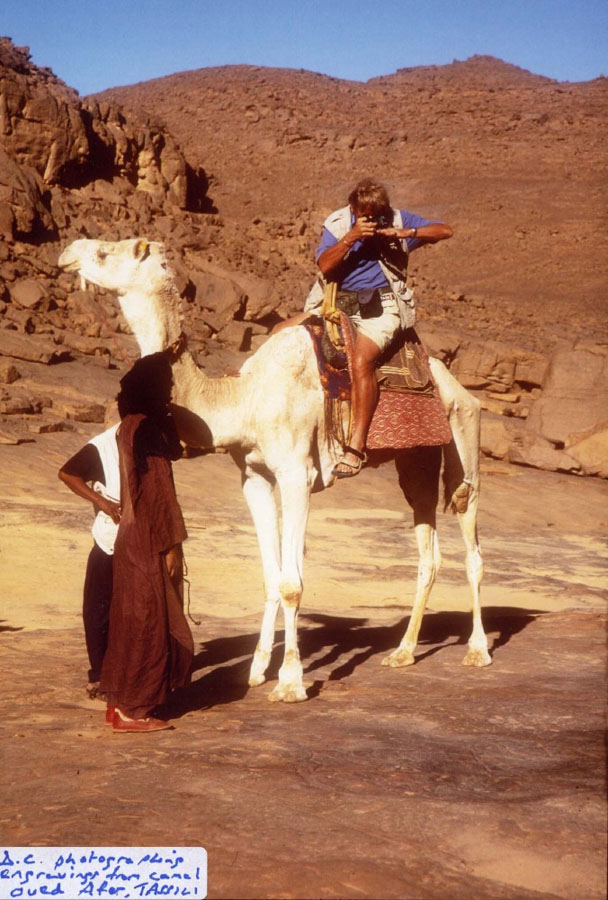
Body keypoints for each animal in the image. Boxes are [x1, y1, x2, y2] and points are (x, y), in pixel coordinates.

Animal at [59, 237, 492, 704]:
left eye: (108, 250)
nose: (69, 250)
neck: (242, 399)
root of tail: (451, 379)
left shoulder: (295, 474)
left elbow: (291, 583)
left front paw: (290, 683)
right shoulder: (255, 477)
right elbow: (270, 576)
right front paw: (254, 671)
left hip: (464, 429)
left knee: (470, 532)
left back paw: (478, 651)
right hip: (416, 459)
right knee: (427, 549)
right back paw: (404, 651)